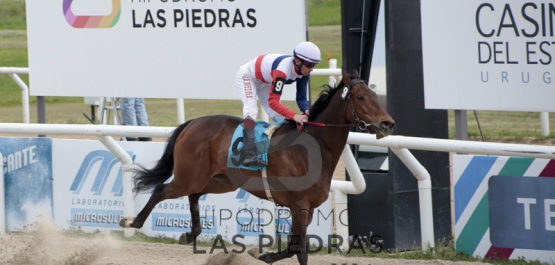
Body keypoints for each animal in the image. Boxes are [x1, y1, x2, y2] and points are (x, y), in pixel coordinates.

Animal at [119, 69, 396, 262]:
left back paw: (190, 234)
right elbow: (298, 250)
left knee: (194, 195)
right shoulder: (299, 205)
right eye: (360, 97)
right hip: (189, 176)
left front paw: (262, 254)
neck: (313, 148)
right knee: (162, 190)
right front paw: (261, 254)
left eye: (375, 95)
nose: (388, 123)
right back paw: (132, 222)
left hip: (220, 181)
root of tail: (193, 122)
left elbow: (294, 248)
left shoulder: (305, 209)